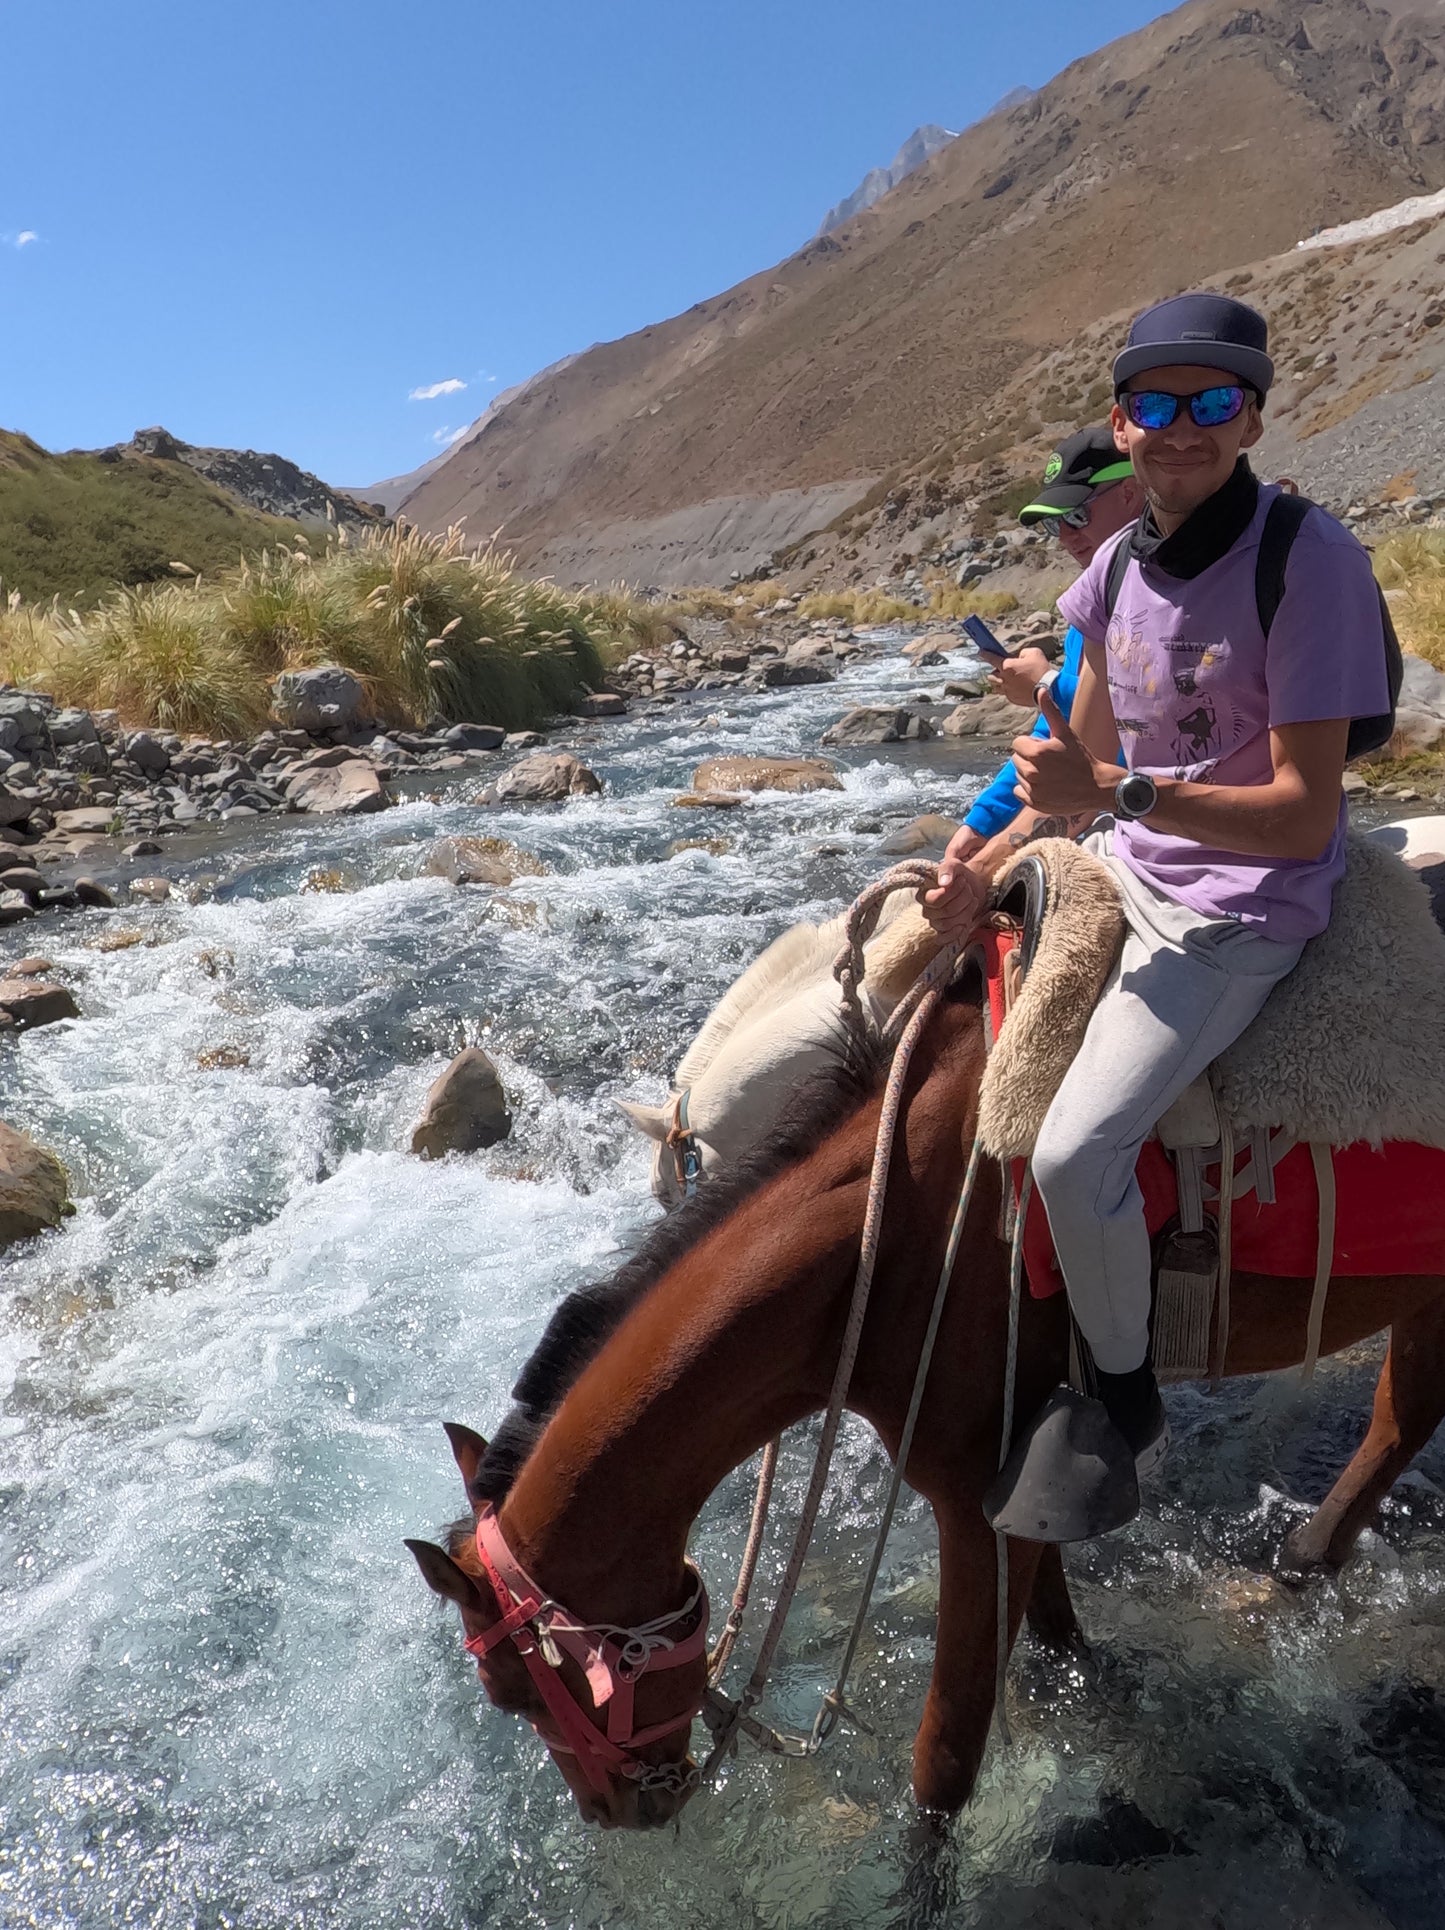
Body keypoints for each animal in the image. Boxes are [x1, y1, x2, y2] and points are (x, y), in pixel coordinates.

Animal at [403, 972, 1443, 1829]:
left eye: (510, 1691)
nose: (615, 1812)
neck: (897, 1240)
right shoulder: (1020, 1491)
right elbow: (1054, 1630)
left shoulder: (973, 1500)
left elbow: (942, 1760)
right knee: (1401, 1419)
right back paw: (1301, 1568)